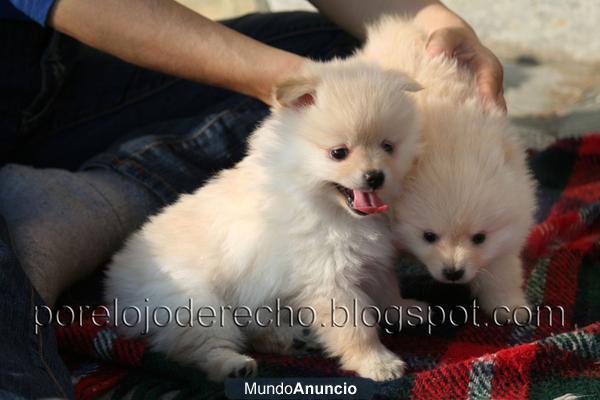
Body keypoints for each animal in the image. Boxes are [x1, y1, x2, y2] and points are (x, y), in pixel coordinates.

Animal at [105, 58, 426, 382]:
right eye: (339, 153)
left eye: (388, 147)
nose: (375, 177)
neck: (321, 203)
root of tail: (118, 280)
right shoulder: (327, 278)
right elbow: (354, 328)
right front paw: (377, 362)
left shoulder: (370, 259)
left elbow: (386, 287)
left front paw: (403, 309)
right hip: (196, 303)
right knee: (199, 346)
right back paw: (233, 364)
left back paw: (291, 339)